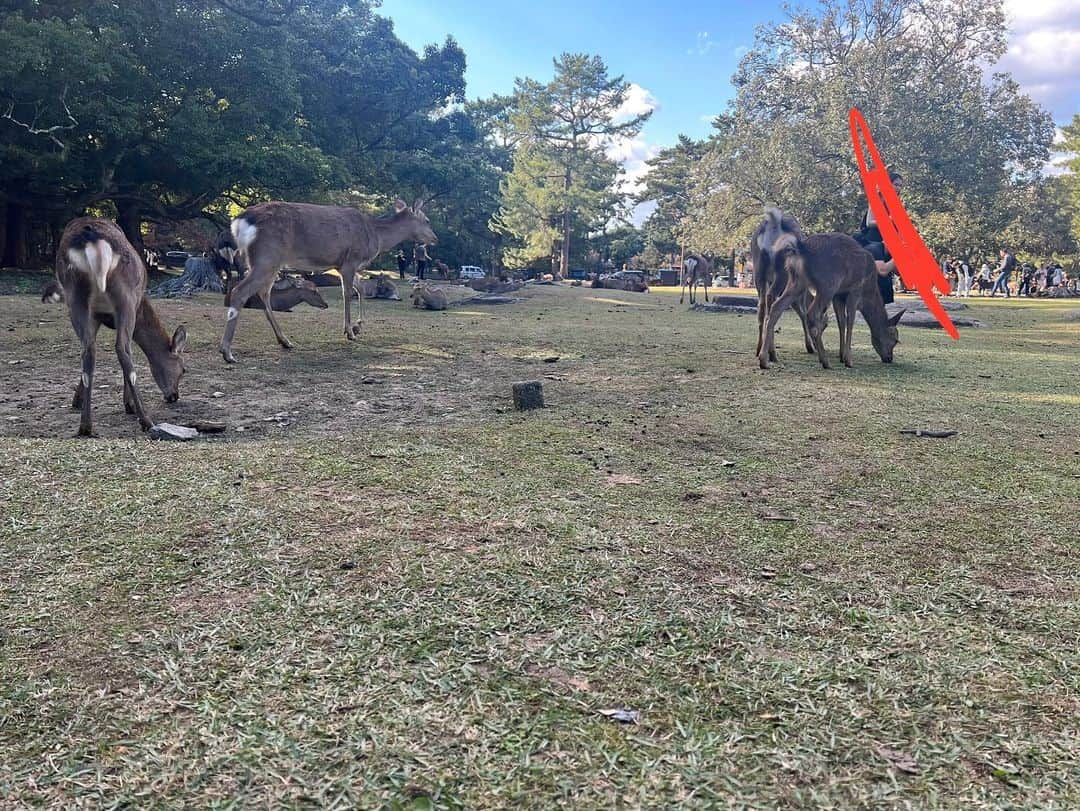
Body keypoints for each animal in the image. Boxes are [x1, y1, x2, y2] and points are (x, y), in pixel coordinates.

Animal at [54, 217, 189, 438]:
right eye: (184, 369)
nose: (174, 396)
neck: (143, 308)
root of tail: (91, 238)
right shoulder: (130, 310)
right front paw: (129, 405)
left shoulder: (97, 317)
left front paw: (76, 400)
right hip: (124, 296)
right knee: (123, 349)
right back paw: (145, 419)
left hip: (75, 298)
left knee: (88, 350)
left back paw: (85, 426)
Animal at [221, 198, 436, 362]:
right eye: (426, 220)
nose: (435, 238)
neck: (376, 236)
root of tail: (239, 221)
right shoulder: (351, 260)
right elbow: (348, 293)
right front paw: (350, 331)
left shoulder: (340, 265)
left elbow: (360, 288)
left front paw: (358, 326)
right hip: (267, 256)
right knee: (241, 291)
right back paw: (227, 352)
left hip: (267, 261)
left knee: (263, 292)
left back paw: (285, 341)